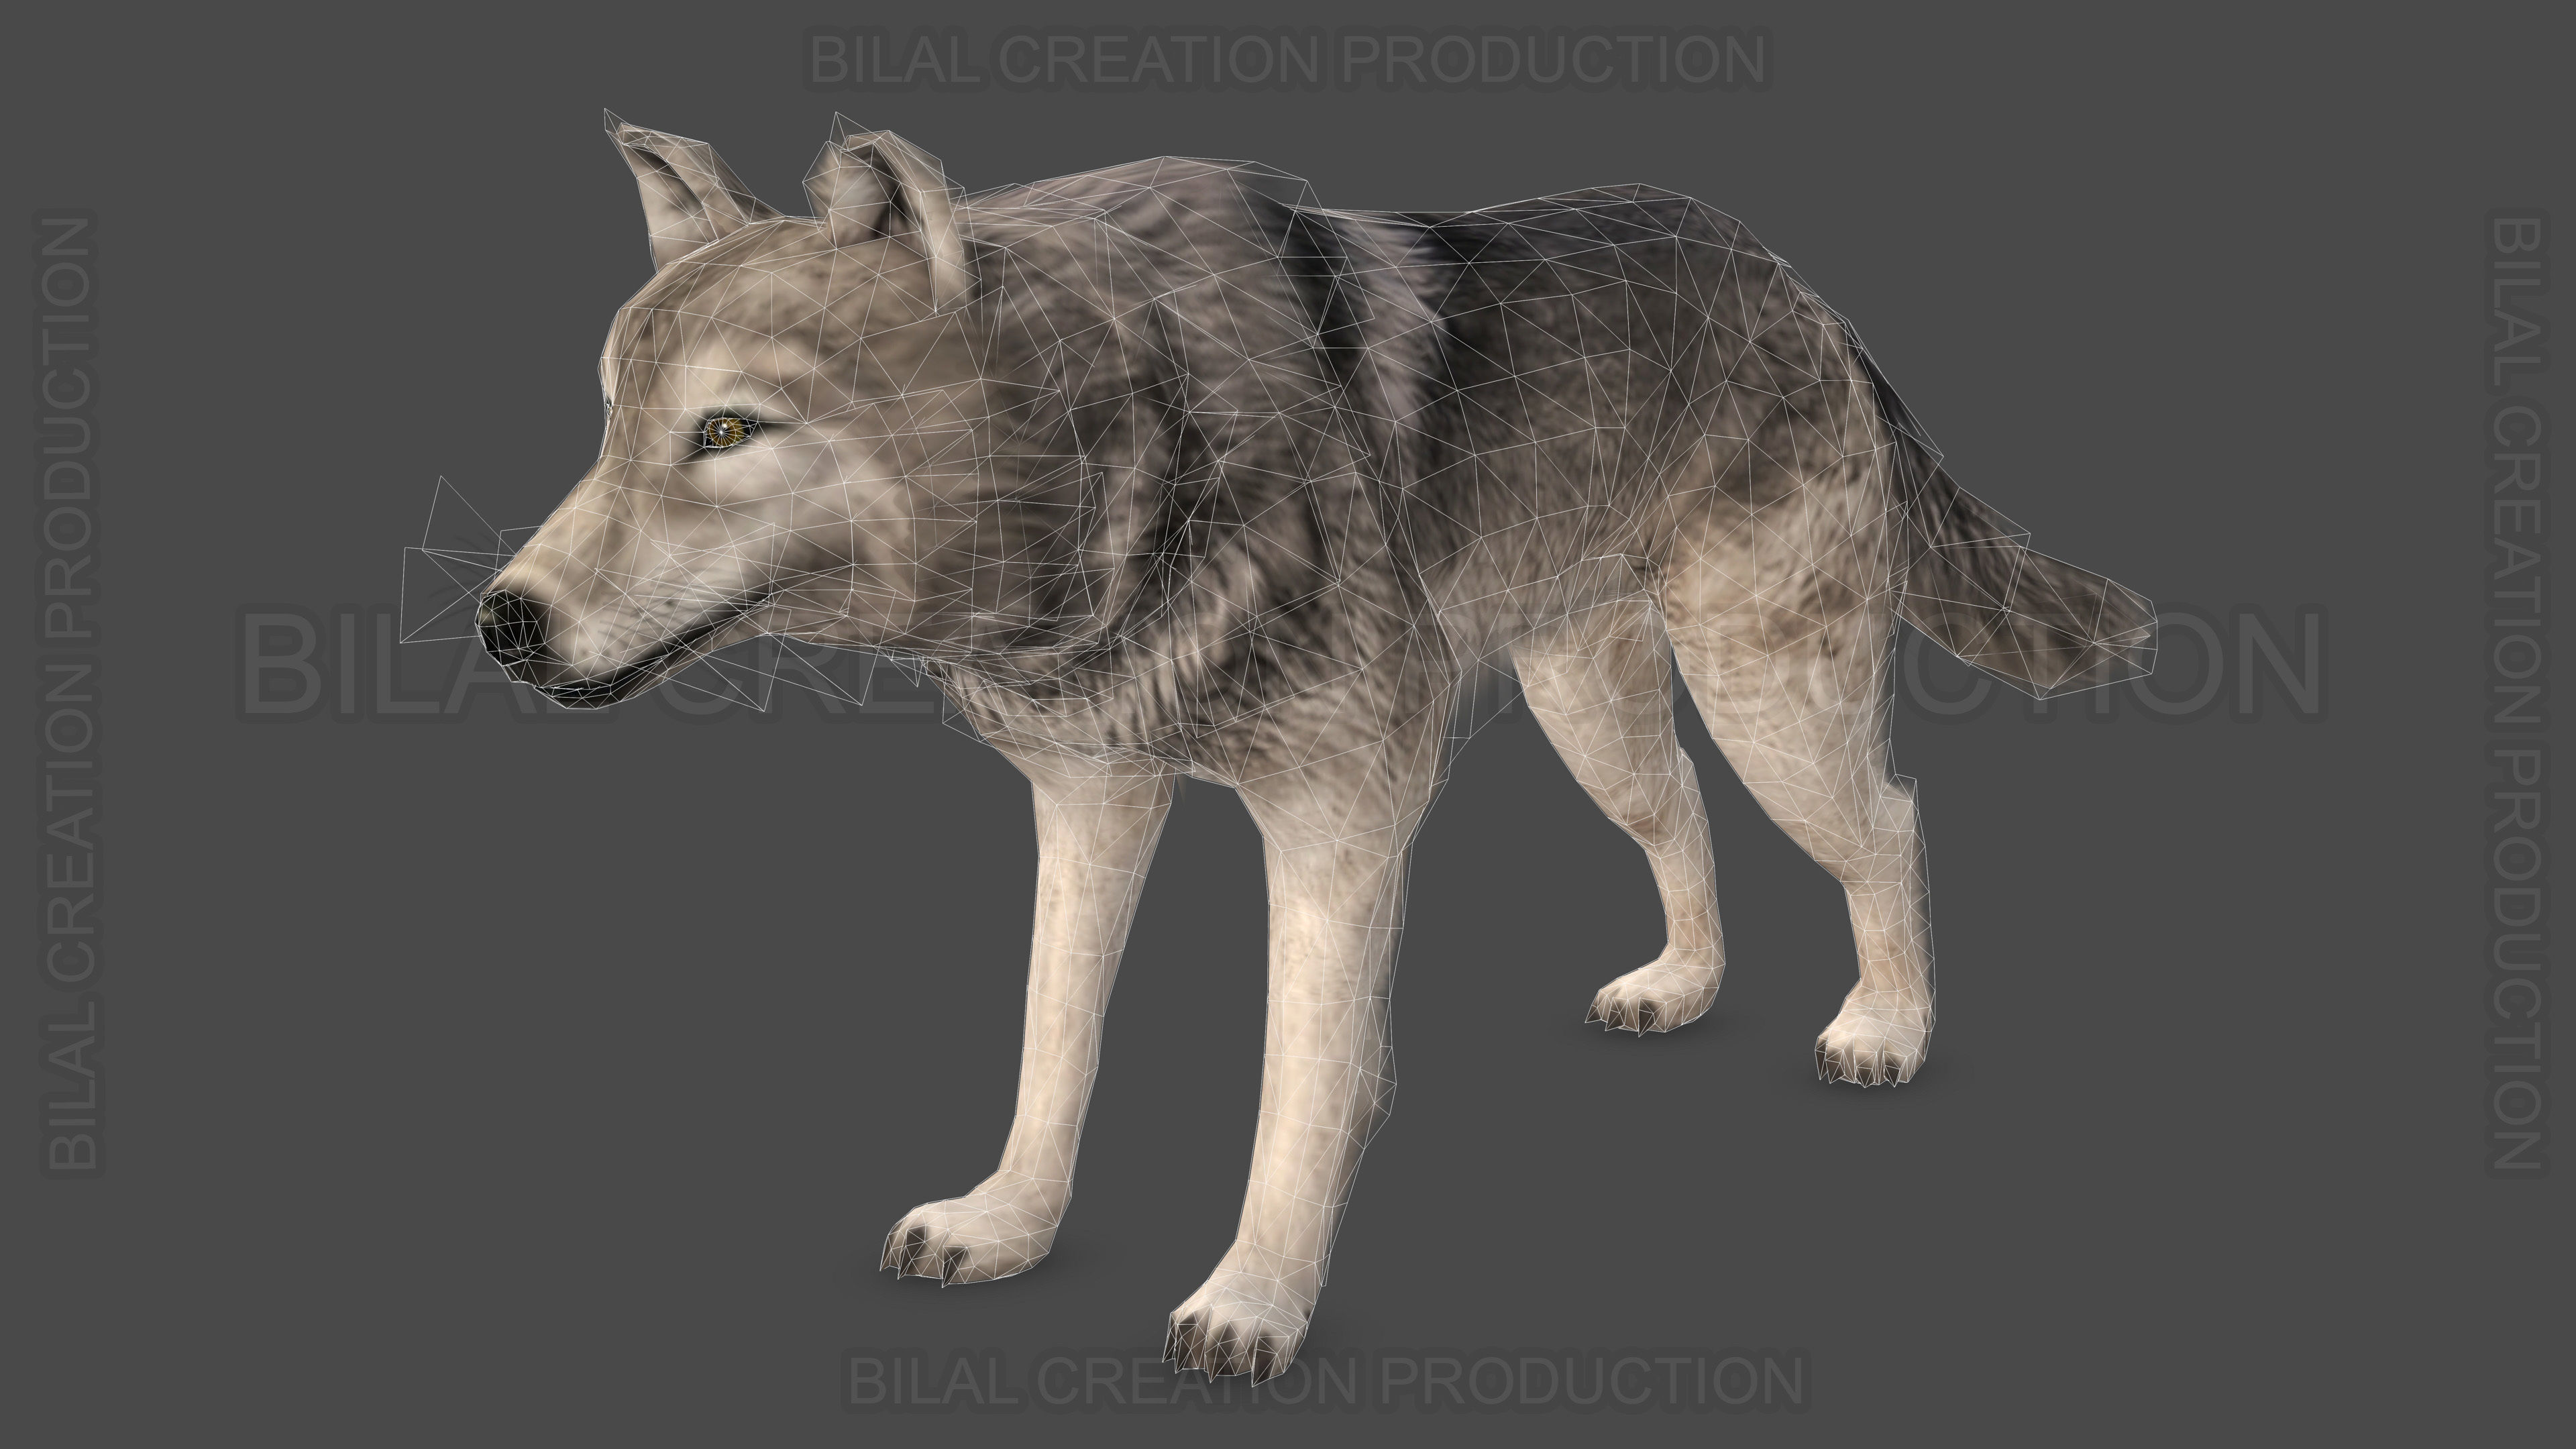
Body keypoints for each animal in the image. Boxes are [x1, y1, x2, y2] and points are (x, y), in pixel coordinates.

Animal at [478, 114, 2154, 1380]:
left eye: (727, 433)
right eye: (613, 421)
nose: (503, 619)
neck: (1124, 449)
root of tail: (1799, 283)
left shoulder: (1340, 813)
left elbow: (1303, 1085)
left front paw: (1253, 1302)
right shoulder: (1093, 799)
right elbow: (1051, 1038)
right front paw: (1009, 1223)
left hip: (1767, 701)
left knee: (1892, 818)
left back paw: (1889, 1027)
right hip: (1596, 715)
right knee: (1682, 814)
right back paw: (1680, 986)